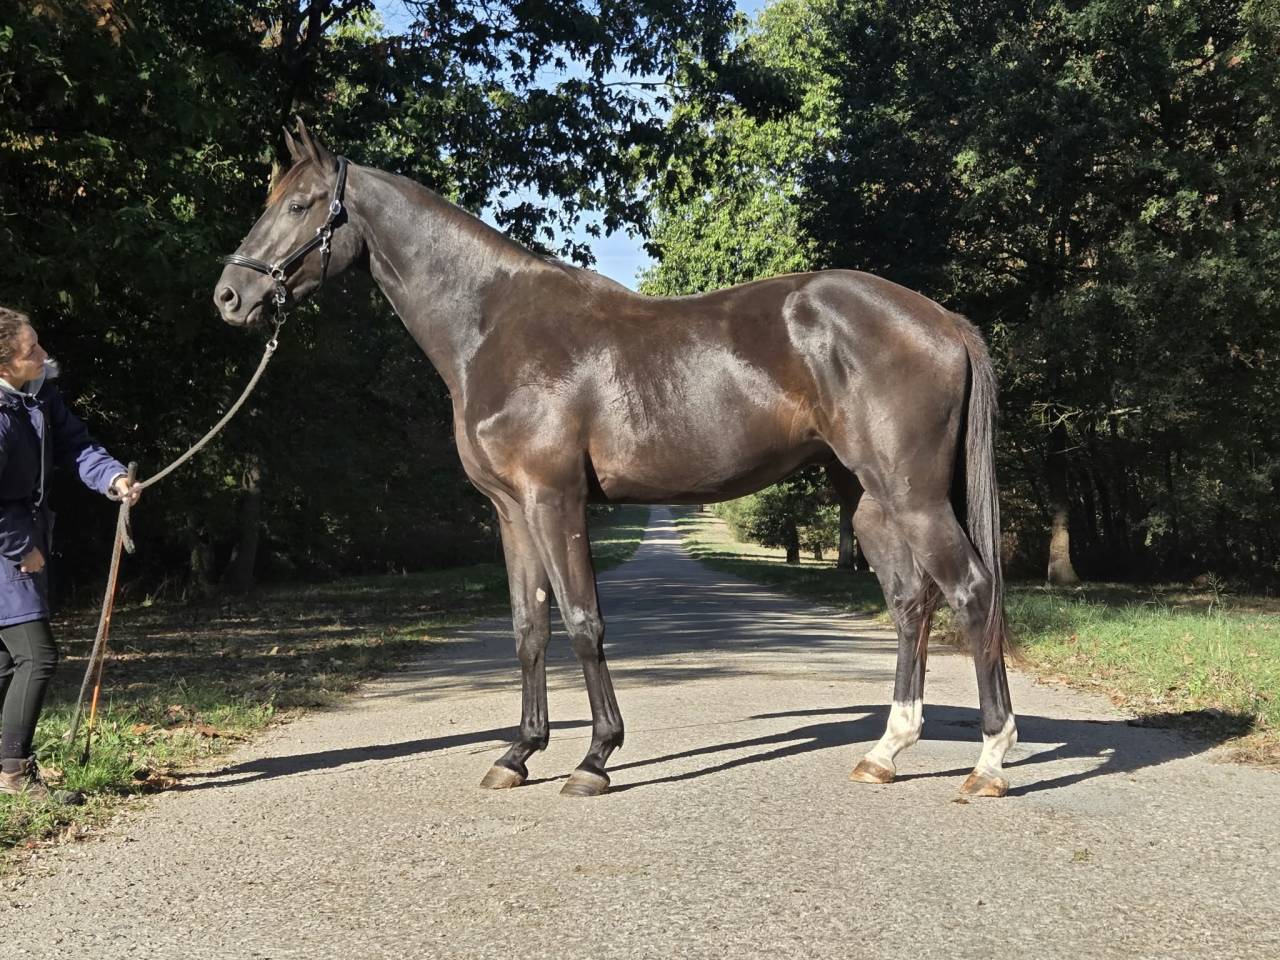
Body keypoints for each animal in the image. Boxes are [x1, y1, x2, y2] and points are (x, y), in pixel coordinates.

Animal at [214, 122, 1017, 799]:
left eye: (302, 205)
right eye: (271, 200)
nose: (230, 296)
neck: (493, 325)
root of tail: (941, 319)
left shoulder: (553, 498)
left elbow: (582, 621)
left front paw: (595, 758)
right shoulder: (509, 511)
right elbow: (528, 627)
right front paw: (518, 754)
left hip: (911, 494)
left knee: (972, 590)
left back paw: (987, 763)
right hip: (866, 495)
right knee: (910, 600)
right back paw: (886, 752)